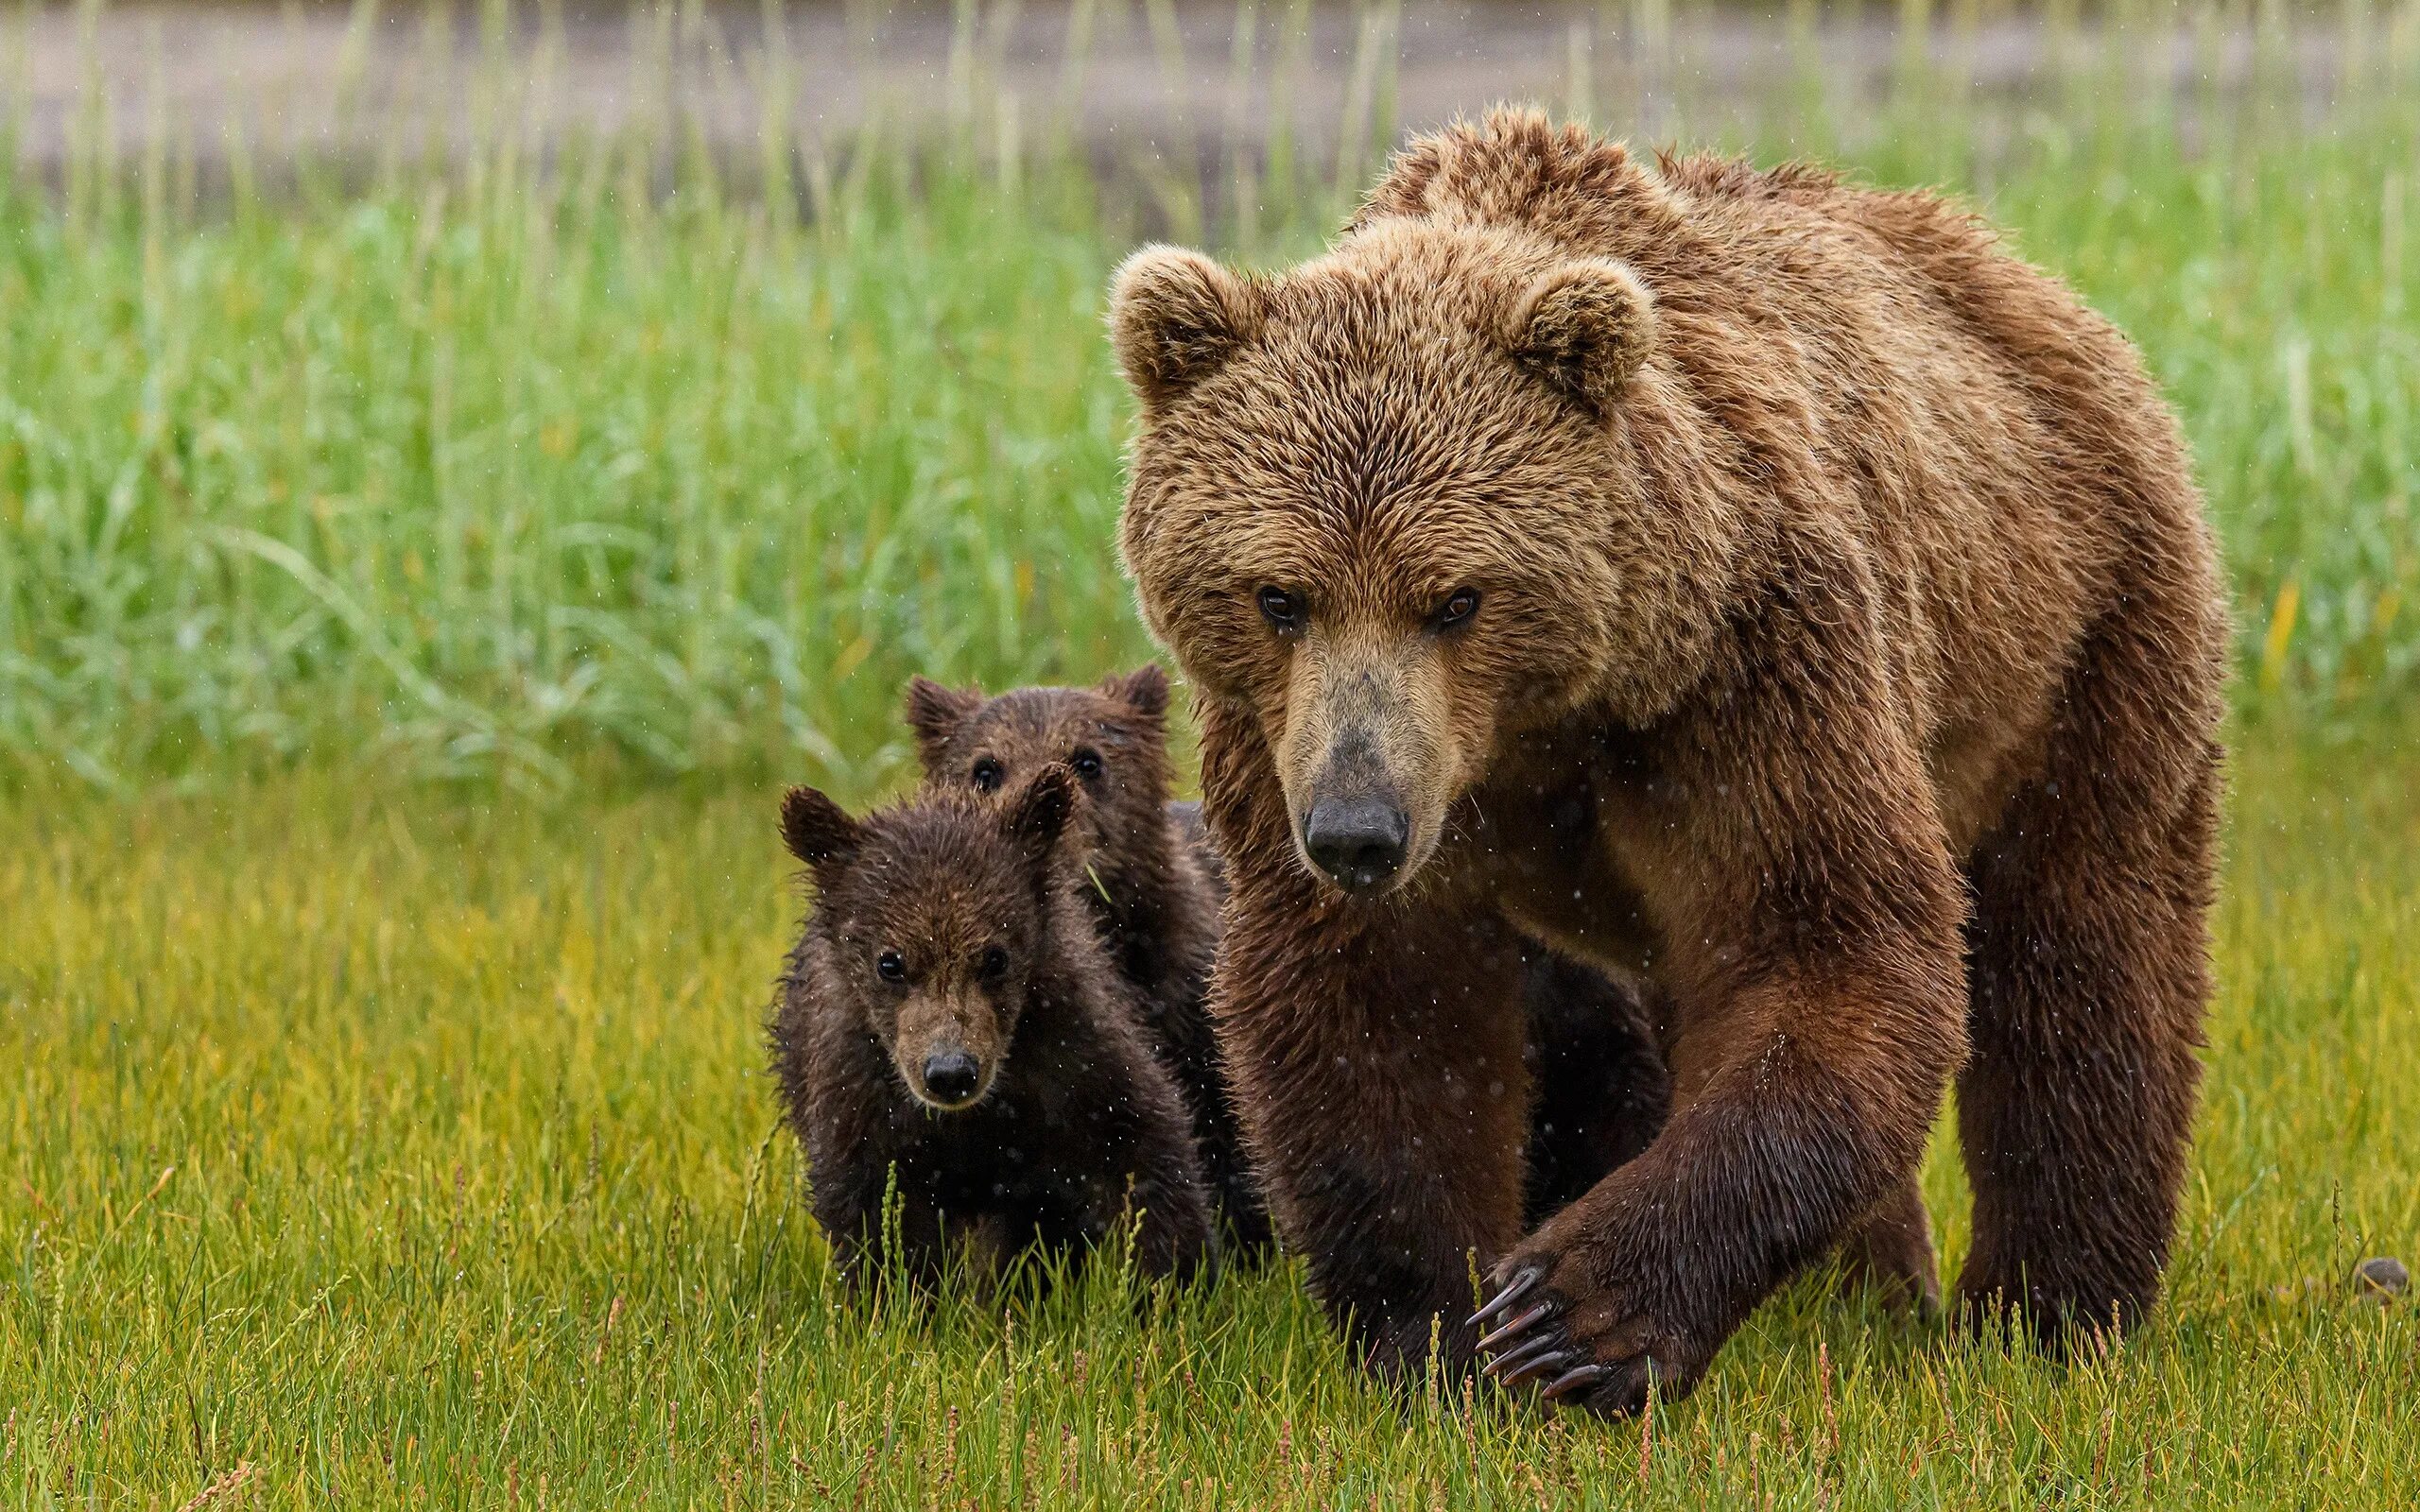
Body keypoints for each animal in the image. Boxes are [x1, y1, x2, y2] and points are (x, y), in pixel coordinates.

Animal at [769, 764, 1219, 1286]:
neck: (974, 1119)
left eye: (995, 956)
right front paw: (896, 1293)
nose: (950, 1072)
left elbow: (1144, 1150)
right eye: (890, 962)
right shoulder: (860, 1097)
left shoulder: (1069, 1060)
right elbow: (876, 1221)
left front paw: (1174, 1279)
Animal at [1108, 109, 2216, 1413]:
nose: (1356, 831)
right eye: (1280, 594)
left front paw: (1570, 1317)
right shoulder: (1287, 739)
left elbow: (1832, 946)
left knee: (2085, 949)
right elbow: (1376, 1010)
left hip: (2078, 631)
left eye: (1456, 597)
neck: (1544, 721)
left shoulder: (1750, 671)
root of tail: (2031, 287)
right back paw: (1868, 1293)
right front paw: (1434, 1339)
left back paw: (2046, 1312)